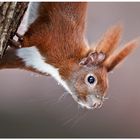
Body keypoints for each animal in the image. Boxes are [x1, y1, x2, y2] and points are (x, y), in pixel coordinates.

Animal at [0, 2, 139, 109]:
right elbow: (33, 34)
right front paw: (18, 40)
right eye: (91, 79)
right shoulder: (49, 34)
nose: (97, 105)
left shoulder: (27, 59)